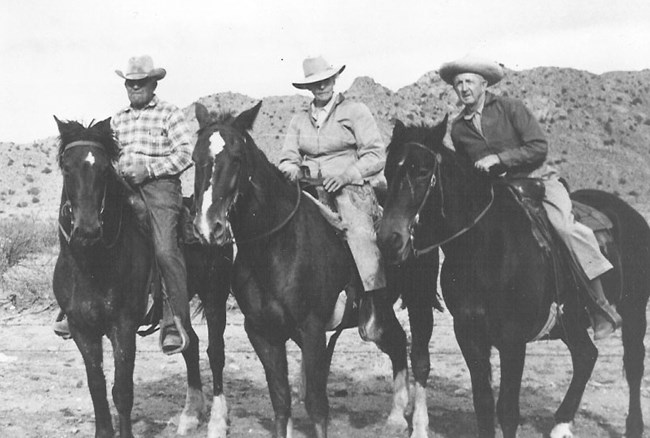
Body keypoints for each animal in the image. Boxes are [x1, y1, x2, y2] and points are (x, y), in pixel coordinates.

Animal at [52, 117, 233, 438]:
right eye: (66, 167)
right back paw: (190, 416)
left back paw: (217, 420)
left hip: (215, 297)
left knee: (216, 352)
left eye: (104, 169)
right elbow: (97, 387)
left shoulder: (123, 326)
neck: (91, 266)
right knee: (191, 344)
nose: (87, 230)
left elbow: (122, 391)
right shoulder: (82, 329)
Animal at [190, 101, 438, 436]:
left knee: (419, 357)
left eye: (237, 158)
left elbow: (317, 407)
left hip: (419, 299)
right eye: (195, 159)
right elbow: (281, 403)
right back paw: (397, 417)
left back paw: (418, 423)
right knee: (398, 342)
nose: (209, 226)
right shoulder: (262, 332)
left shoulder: (312, 330)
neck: (275, 245)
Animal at [374, 118, 648, 438]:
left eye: (422, 171)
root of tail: (632, 216)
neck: (484, 248)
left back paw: (633, 426)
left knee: (633, 364)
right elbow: (483, 404)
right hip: (571, 321)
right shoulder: (469, 334)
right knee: (586, 356)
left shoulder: (513, 339)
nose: (389, 239)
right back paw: (561, 424)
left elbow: (507, 410)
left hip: (634, 311)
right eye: (388, 171)